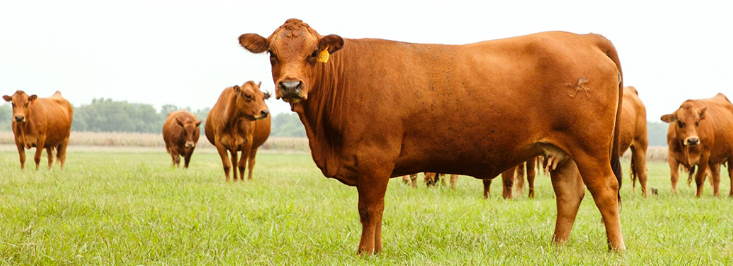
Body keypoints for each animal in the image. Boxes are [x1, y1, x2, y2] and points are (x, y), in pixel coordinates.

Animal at [239, 19, 624, 254]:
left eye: (311, 55)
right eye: (272, 53)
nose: (291, 86)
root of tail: (582, 38)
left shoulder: (374, 159)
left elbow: (369, 209)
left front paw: (365, 252)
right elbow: (375, 211)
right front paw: (376, 250)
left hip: (590, 148)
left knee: (605, 191)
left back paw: (616, 248)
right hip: (564, 152)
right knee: (569, 195)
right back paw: (557, 246)